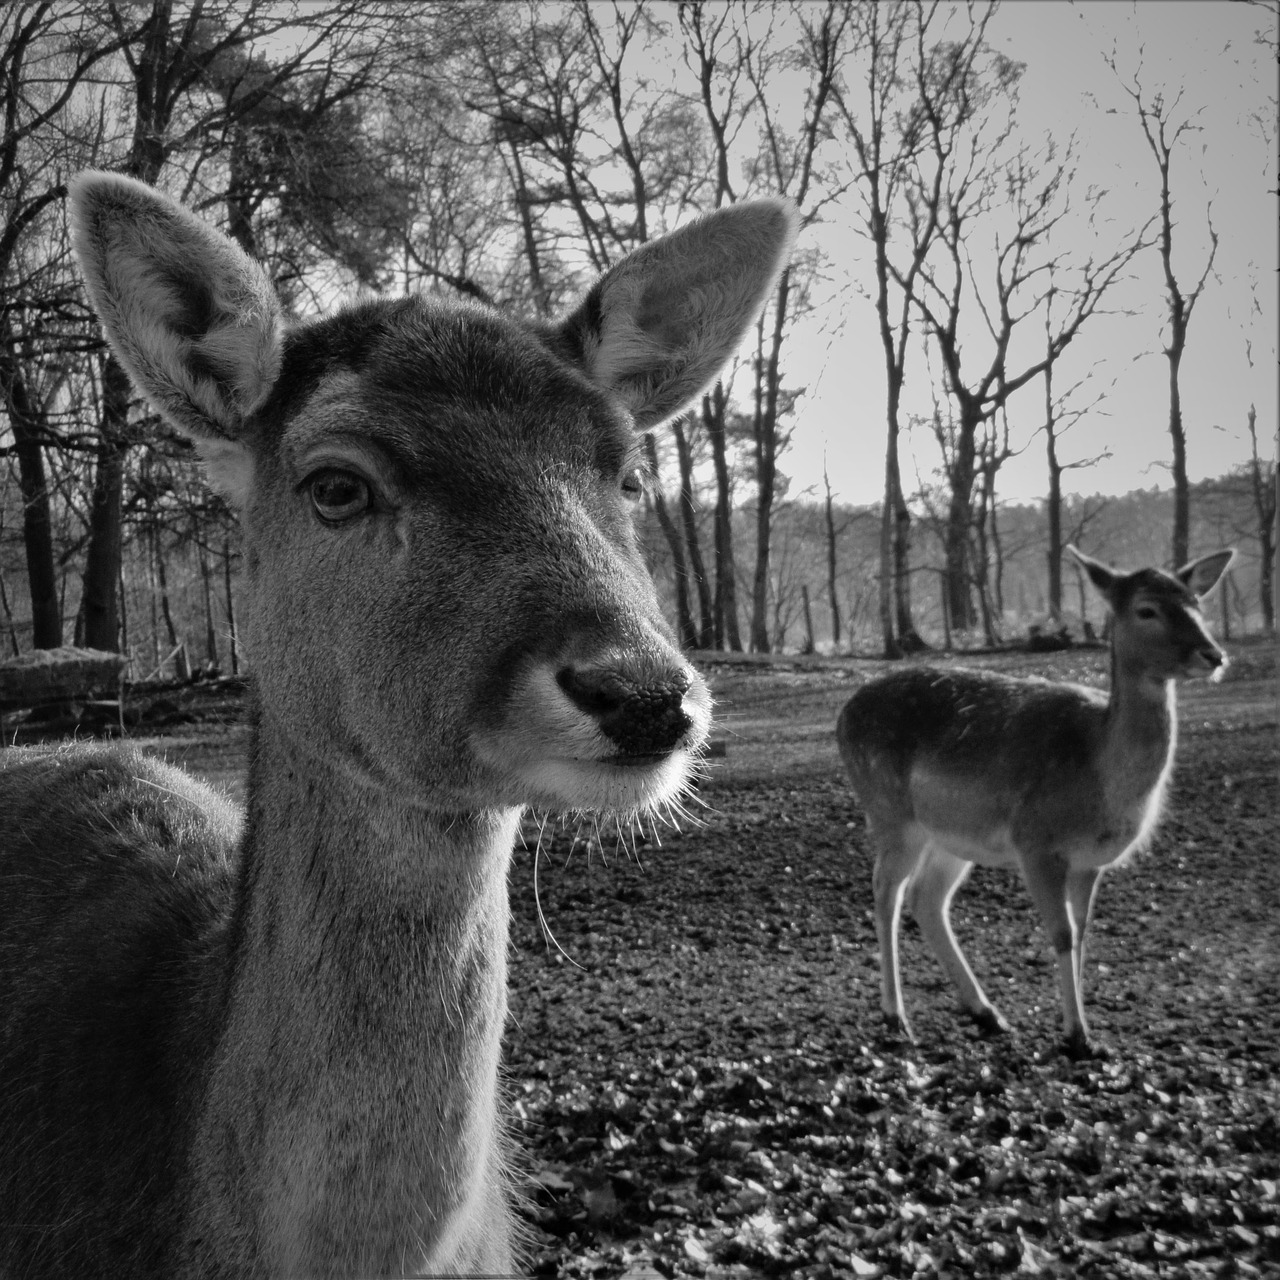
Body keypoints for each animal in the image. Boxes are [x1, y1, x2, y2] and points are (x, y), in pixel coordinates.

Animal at [834, 545, 1233, 1054]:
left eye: (1196, 603)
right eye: (1147, 609)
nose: (1214, 654)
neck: (1098, 777)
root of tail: (843, 715)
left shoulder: (1090, 861)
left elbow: (1082, 934)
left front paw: (1085, 1028)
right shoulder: (1036, 843)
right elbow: (1061, 934)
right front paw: (1077, 1035)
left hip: (952, 836)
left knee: (927, 898)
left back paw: (987, 1013)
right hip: (891, 814)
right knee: (887, 891)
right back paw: (896, 1017)